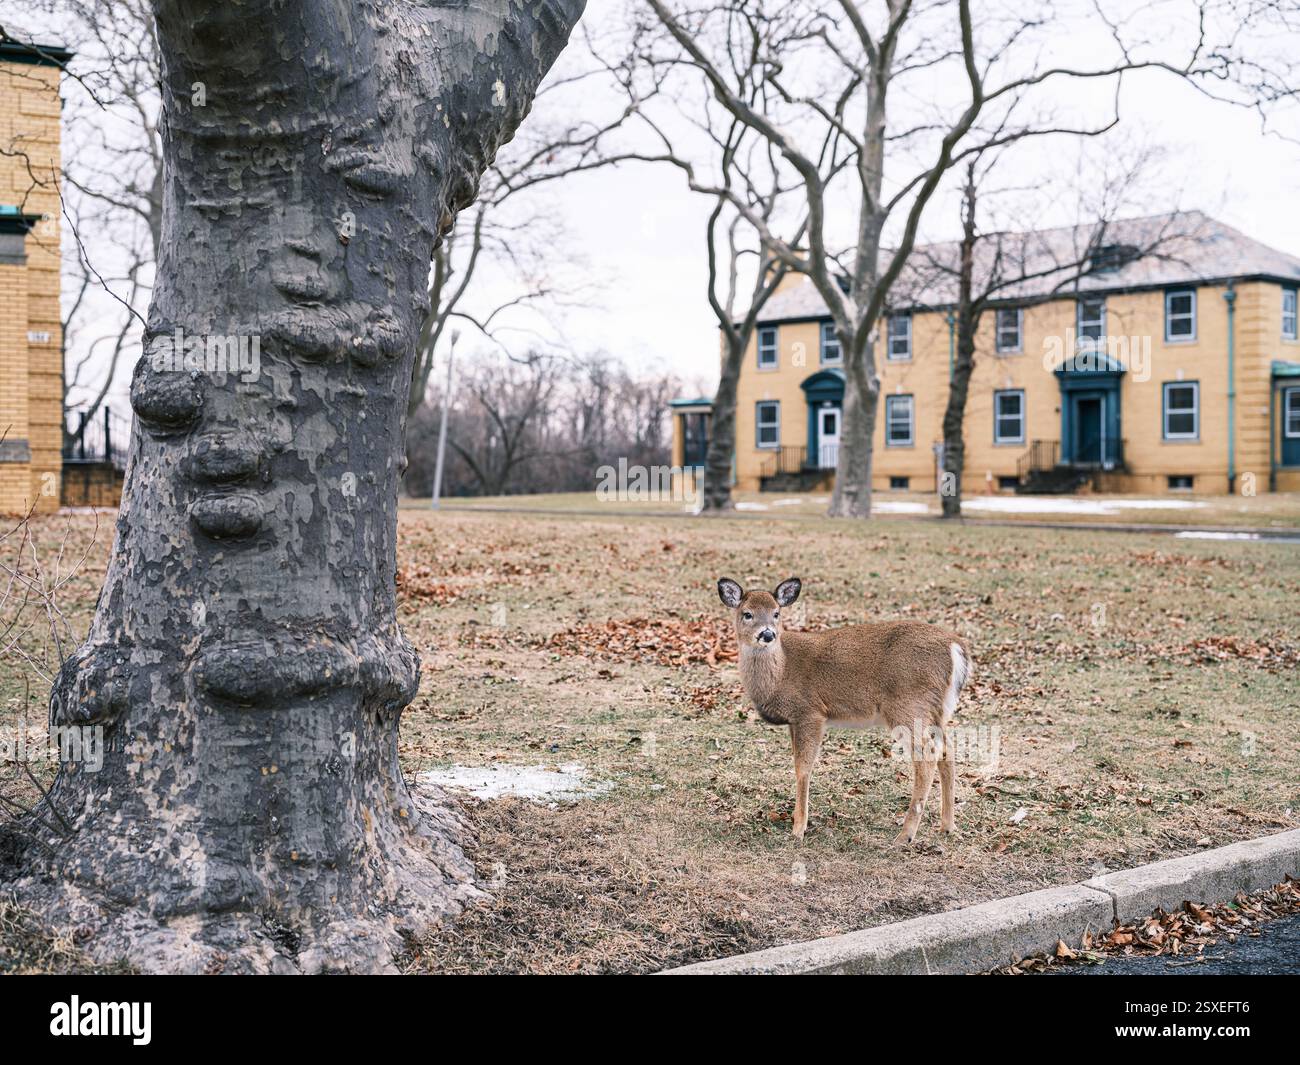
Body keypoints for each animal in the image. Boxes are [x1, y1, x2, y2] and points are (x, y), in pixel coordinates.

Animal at [717, 577, 972, 845]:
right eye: (747, 614)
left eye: (776, 613)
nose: (768, 634)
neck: (781, 671)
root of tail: (956, 647)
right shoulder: (794, 720)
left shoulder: (810, 712)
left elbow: (803, 768)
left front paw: (799, 828)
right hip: (936, 710)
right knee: (947, 749)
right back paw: (947, 826)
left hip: (909, 705)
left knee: (927, 756)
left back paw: (905, 835)